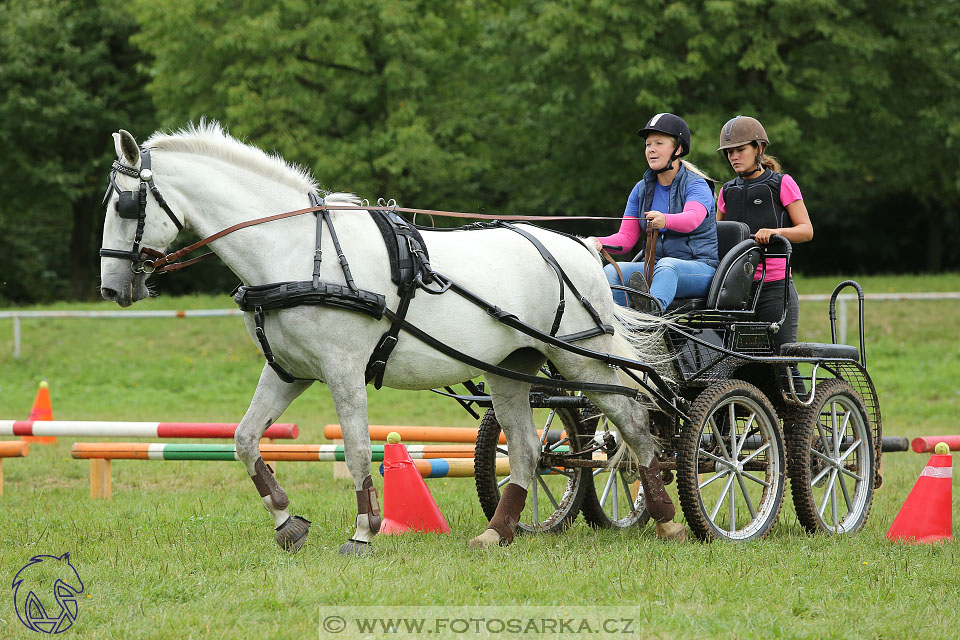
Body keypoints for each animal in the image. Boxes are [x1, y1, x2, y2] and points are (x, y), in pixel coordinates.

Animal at [99, 122, 688, 552]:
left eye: (125, 204)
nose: (110, 287)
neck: (296, 250)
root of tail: (581, 247)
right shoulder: (288, 370)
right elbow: (245, 439)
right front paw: (288, 522)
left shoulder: (342, 369)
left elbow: (360, 449)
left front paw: (363, 532)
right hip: (511, 368)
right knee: (527, 449)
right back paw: (496, 532)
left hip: (584, 358)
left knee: (634, 424)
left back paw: (669, 520)